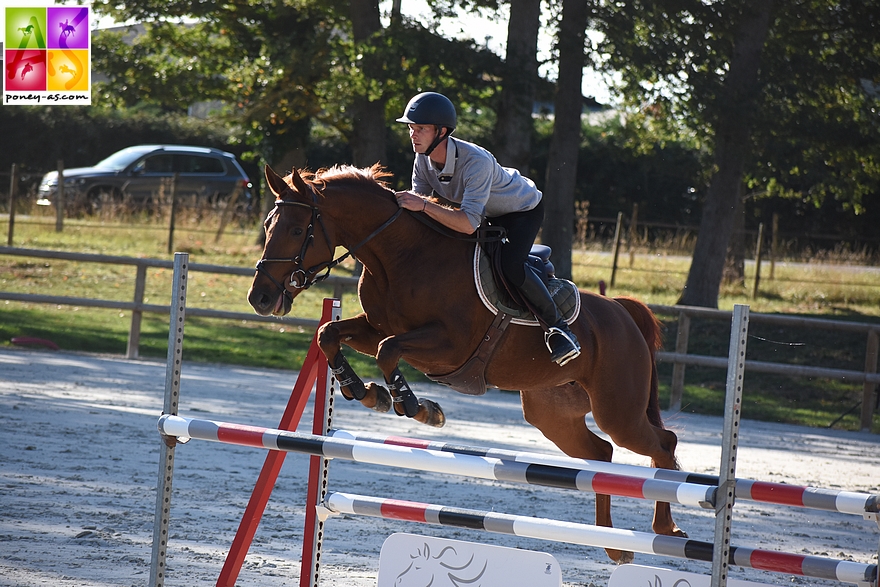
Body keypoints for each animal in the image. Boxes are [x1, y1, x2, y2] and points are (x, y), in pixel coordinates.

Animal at [248, 163, 688, 564]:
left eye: (295, 230)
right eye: (268, 225)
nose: (260, 299)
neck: (401, 256)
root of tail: (623, 312)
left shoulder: (449, 346)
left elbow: (389, 350)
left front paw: (415, 406)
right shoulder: (375, 327)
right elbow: (330, 335)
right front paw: (364, 391)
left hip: (618, 410)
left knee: (661, 443)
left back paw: (664, 529)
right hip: (552, 413)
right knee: (600, 453)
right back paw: (615, 544)